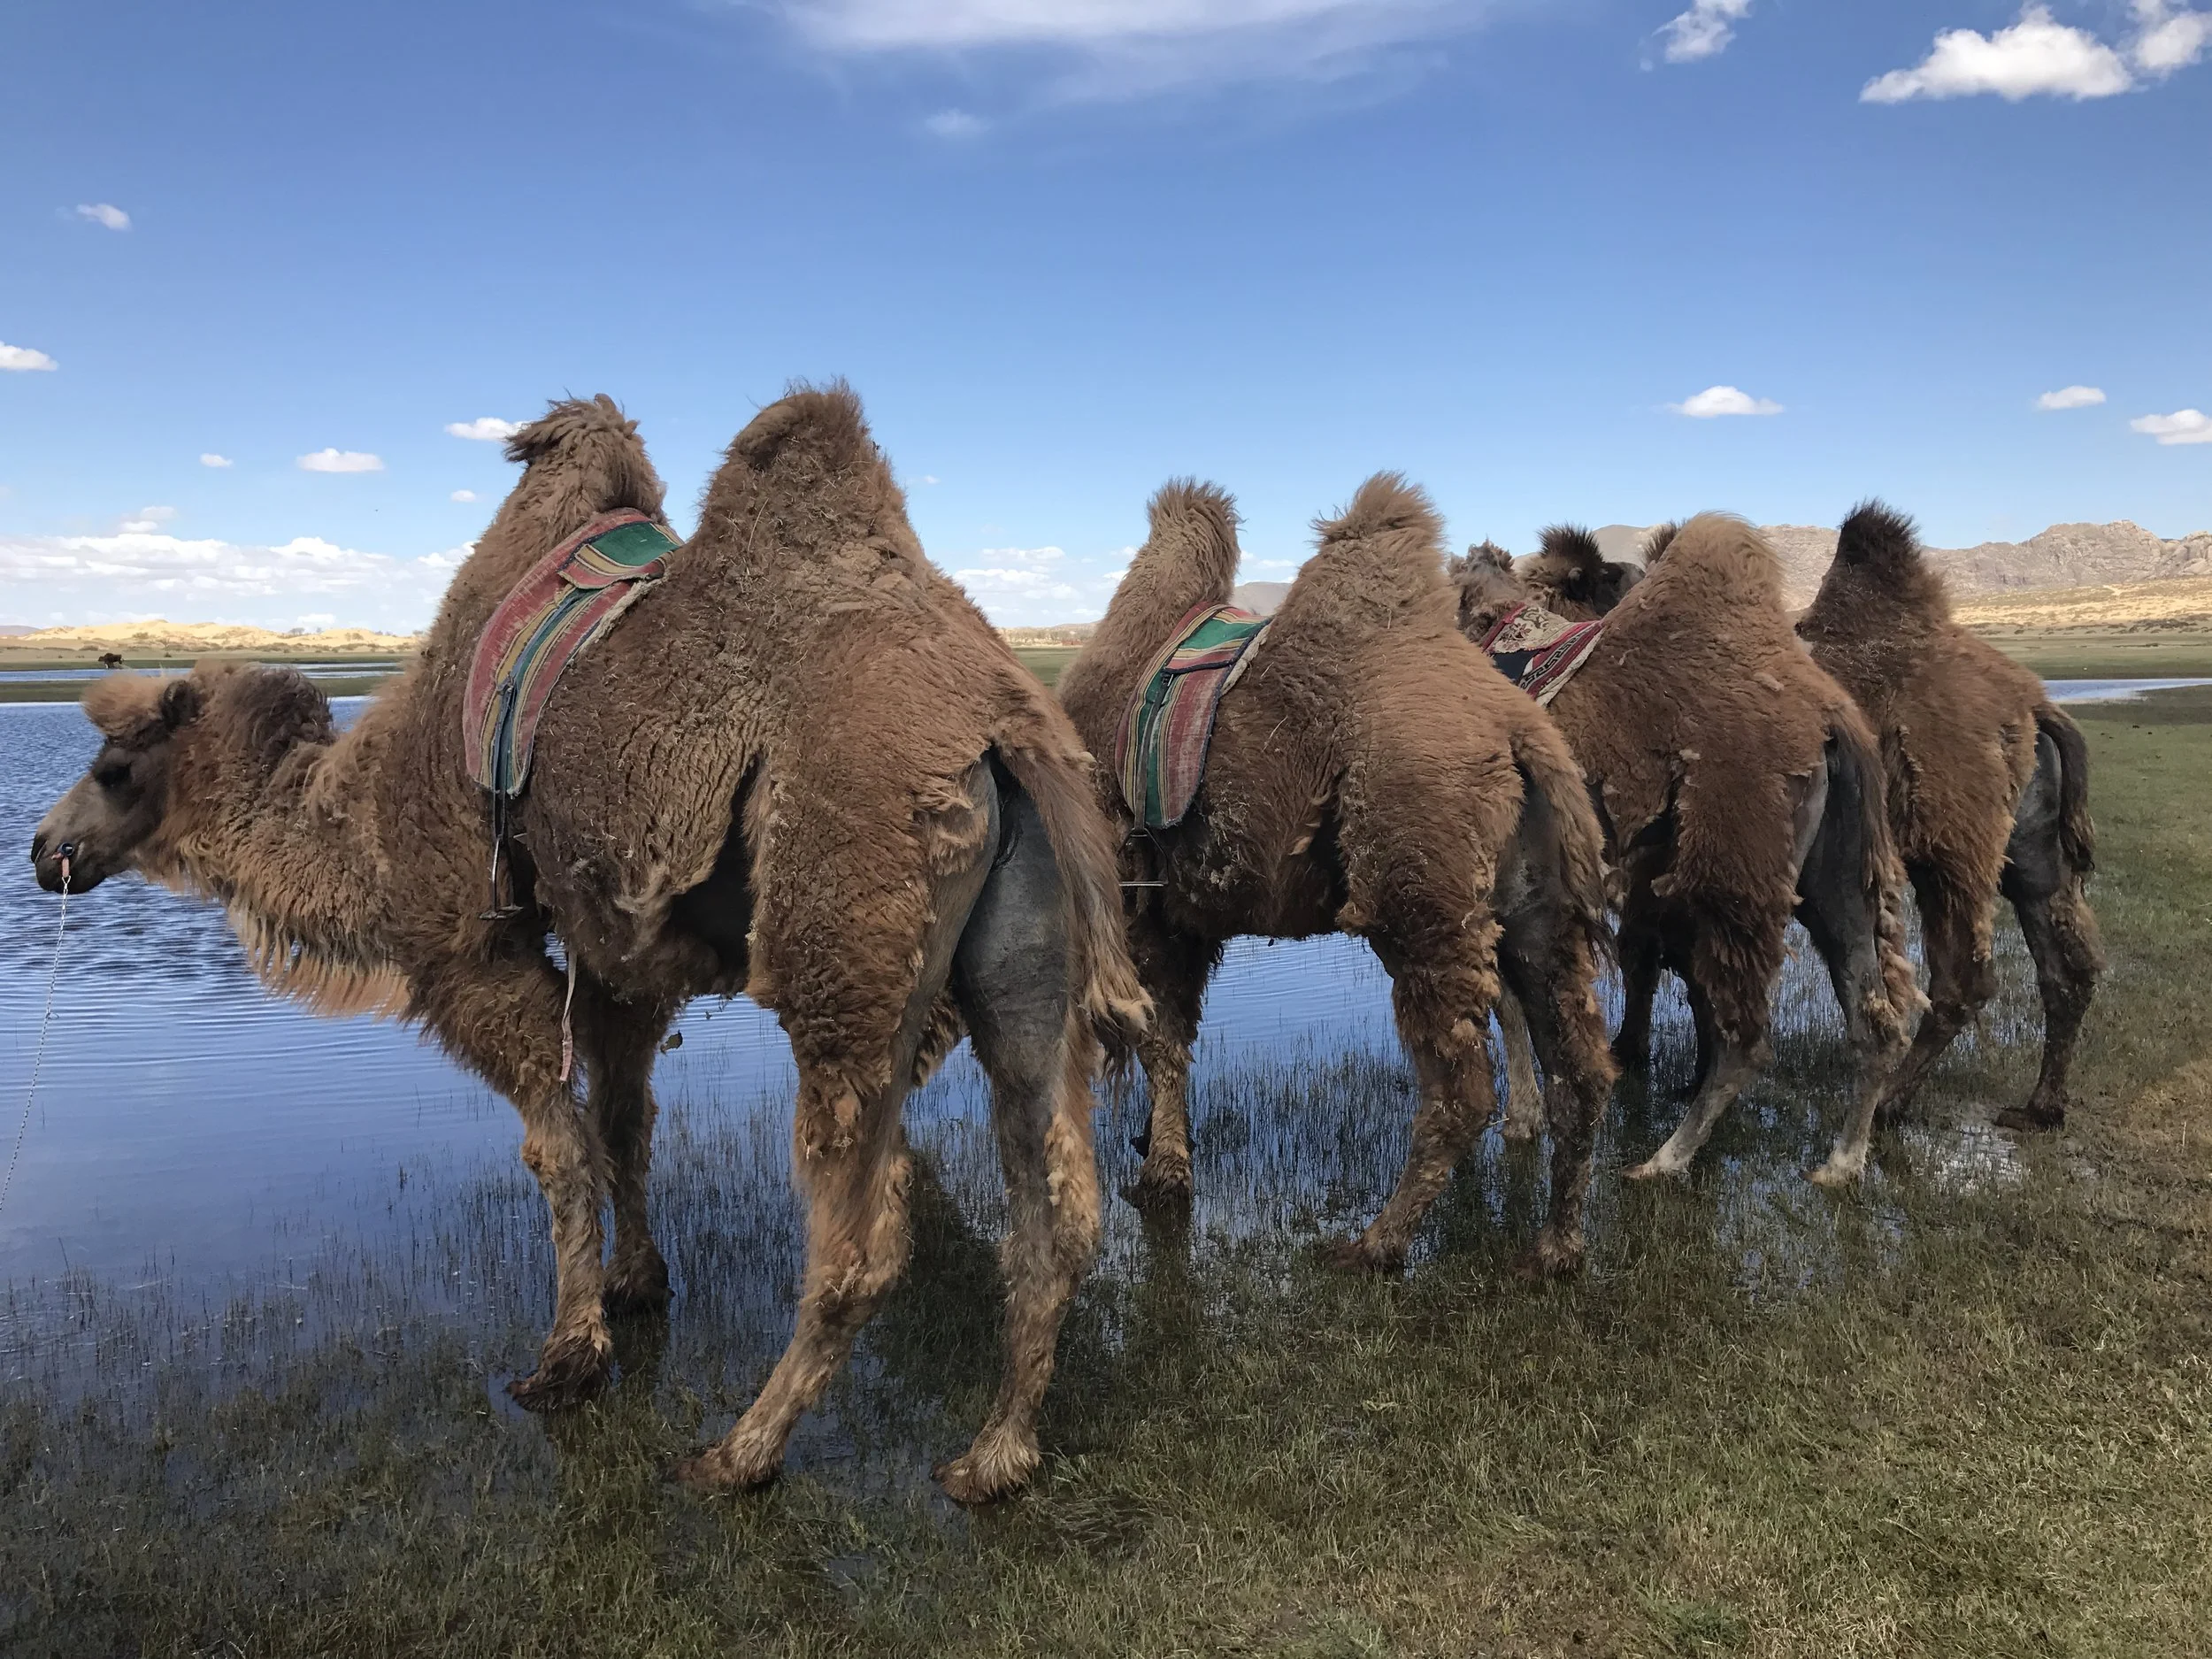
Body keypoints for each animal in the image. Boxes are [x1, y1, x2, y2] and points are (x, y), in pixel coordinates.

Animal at [30, 386, 1146, 1504]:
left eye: (115, 767)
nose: (47, 851)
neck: (369, 809)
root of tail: (1005, 723)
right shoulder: (618, 952)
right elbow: (622, 1123)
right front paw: (638, 1284)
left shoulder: (473, 952)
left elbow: (555, 1149)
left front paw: (569, 1356)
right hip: (1025, 944)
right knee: (1057, 1194)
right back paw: (994, 1457)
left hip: (848, 937)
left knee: (861, 1237)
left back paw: (742, 1451)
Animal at [1057, 476, 1616, 1275]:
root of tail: (1520, 732)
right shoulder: (1185, 915)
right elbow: (1176, 1036)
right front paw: (1164, 1155)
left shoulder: (1148, 907)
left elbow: (1162, 1038)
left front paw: (1162, 1175)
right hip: (1536, 909)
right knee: (1581, 1066)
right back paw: (1556, 1248)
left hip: (1418, 895)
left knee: (1462, 1087)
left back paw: (1374, 1244)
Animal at [1450, 516, 1922, 1184]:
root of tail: (1831, 721)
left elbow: (1509, 1004)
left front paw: (1521, 1120)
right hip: (1835, 876)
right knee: (1873, 1016)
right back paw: (1841, 1161)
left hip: (1735, 873)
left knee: (1746, 1037)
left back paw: (1663, 1159)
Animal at [1798, 501, 2102, 1131]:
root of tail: (2034, 707)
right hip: (2028, 852)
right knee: (2067, 967)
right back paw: (2040, 1108)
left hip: (1949, 851)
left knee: (1966, 980)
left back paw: (1889, 1104)